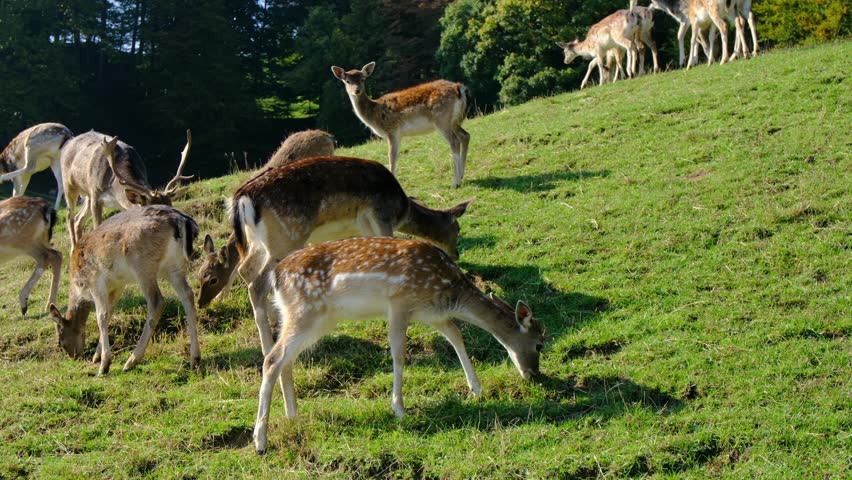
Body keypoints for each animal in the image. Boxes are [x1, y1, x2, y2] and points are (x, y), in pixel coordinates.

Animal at [49, 205, 201, 376]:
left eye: (60, 340)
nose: (74, 356)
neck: (79, 286)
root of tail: (181, 220)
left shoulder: (95, 281)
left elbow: (101, 316)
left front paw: (104, 365)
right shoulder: (118, 285)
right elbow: (109, 313)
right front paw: (97, 356)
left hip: (142, 265)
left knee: (157, 301)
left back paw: (131, 361)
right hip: (174, 267)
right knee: (188, 295)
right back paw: (195, 359)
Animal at [60, 129, 192, 249]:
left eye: (172, 206)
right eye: (152, 212)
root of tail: (68, 142)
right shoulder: (96, 195)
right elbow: (97, 227)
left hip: (87, 196)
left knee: (78, 219)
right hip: (69, 185)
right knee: (69, 215)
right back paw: (73, 250)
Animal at [196, 156, 475, 358]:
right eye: (458, 228)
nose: (457, 253)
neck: (402, 208)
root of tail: (241, 198)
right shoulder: (381, 215)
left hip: (257, 243)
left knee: (246, 270)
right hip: (286, 238)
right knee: (258, 282)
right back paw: (269, 346)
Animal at [252, 236, 545, 453]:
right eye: (541, 344)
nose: (534, 375)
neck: (449, 290)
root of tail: (276, 276)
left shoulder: (432, 315)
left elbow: (456, 336)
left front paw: (476, 389)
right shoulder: (399, 303)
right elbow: (399, 354)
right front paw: (400, 409)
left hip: (311, 319)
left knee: (286, 360)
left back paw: (293, 416)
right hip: (305, 312)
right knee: (272, 358)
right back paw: (260, 441)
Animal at [330, 62, 470, 189]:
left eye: (362, 79)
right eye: (347, 81)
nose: (357, 90)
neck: (374, 114)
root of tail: (459, 88)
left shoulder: (391, 130)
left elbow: (391, 156)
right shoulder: (399, 135)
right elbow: (396, 156)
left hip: (442, 119)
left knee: (454, 142)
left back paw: (455, 182)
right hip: (454, 121)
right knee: (465, 136)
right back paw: (461, 176)